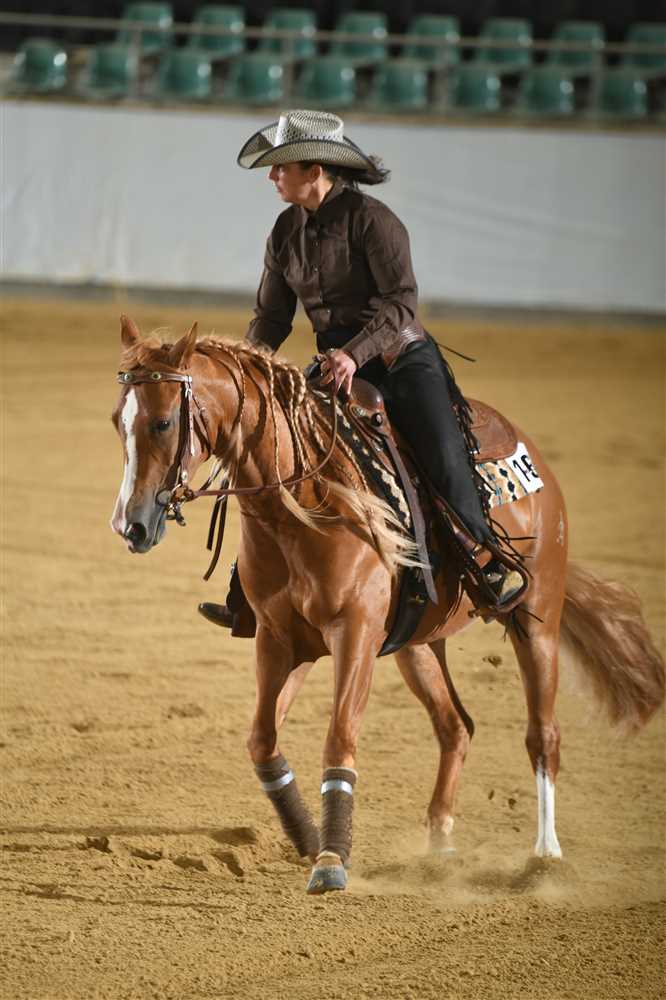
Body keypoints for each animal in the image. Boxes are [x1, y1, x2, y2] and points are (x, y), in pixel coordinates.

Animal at [110, 315, 665, 895]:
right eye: (117, 422)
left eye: (163, 422)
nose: (131, 525)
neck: (306, 502)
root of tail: (537, 467)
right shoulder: (281, 639)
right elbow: (262, 740)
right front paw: (311, 839)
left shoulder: (352, 634)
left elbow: (339, 737)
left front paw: (331, 860)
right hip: (418, 645)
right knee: (455, 727)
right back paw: (439, 844)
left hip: (537, 622)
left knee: (543, 736)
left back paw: (545, 856)